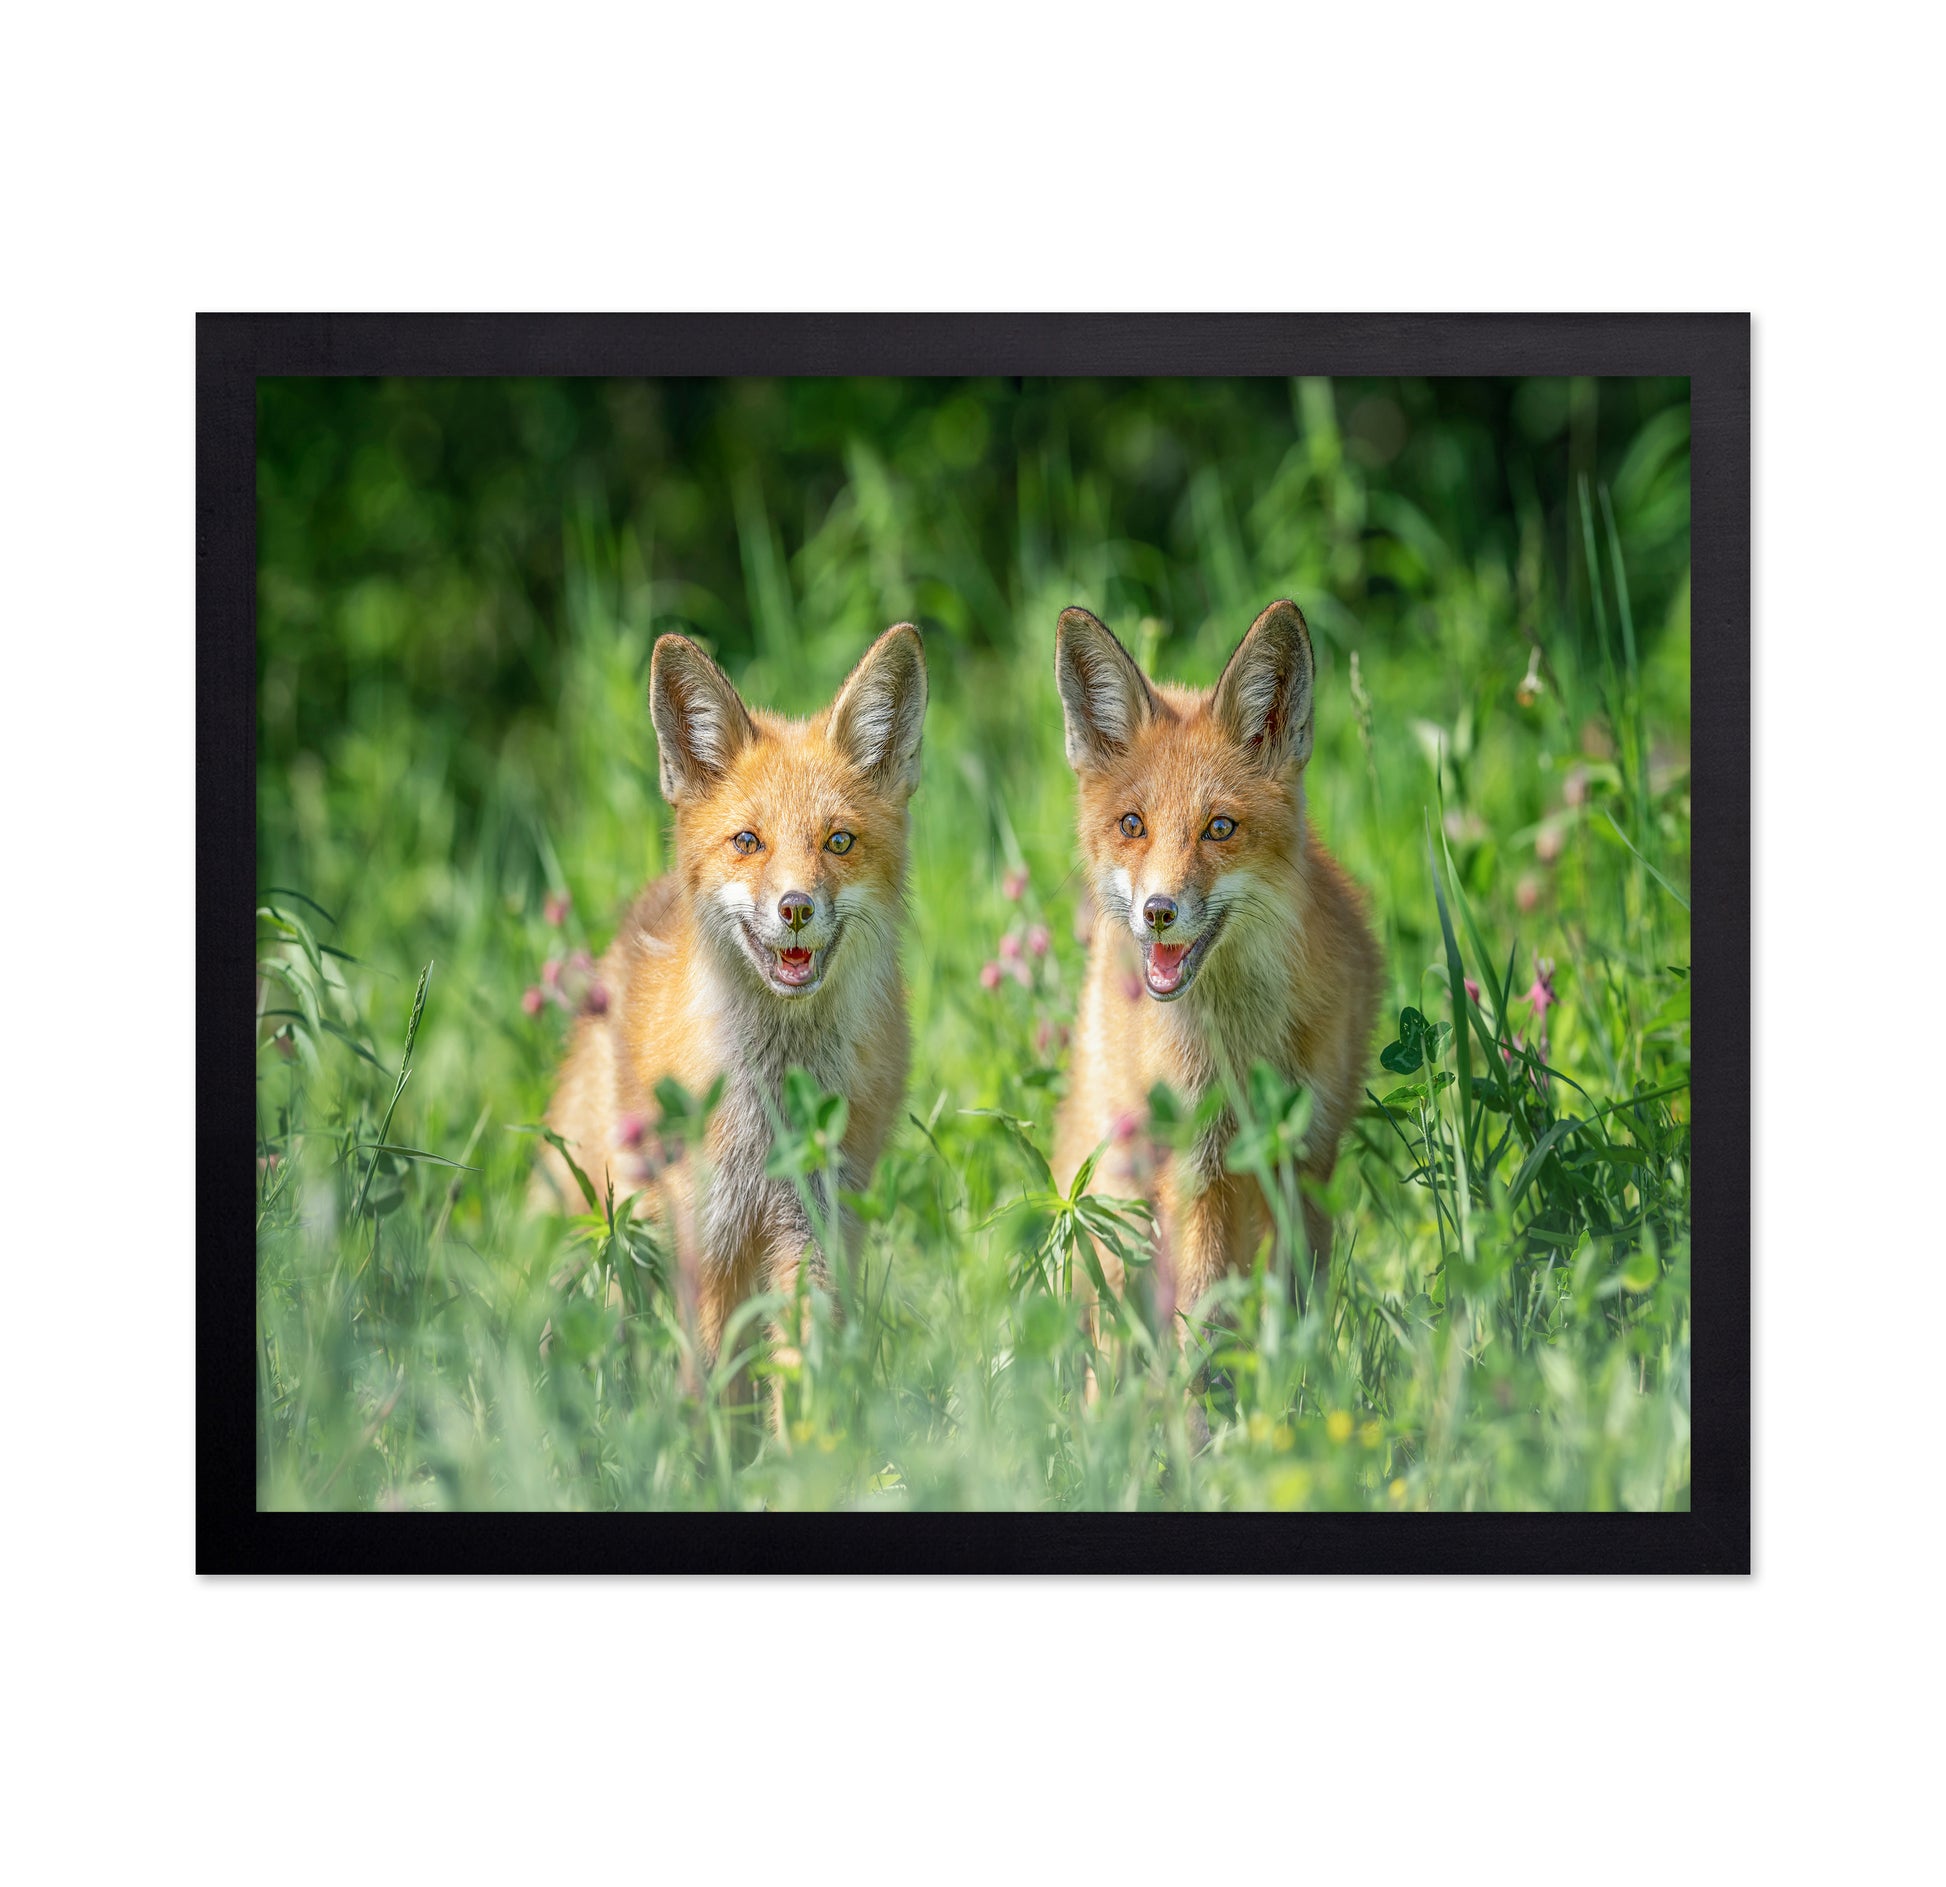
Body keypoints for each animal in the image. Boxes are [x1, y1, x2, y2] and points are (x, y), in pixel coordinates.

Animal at [537, 622, 928, 1370]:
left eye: (839, 841)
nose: (796, 907)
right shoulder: (710, 1244)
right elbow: (717, 1386)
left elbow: (805, 1372)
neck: (771, 1106)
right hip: (617, 1229)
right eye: (748, 841)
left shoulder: (813, 1228)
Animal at [1052, 599, 1382, 1340]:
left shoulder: (1304, 1156)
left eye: (1220, 828)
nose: (1158, 911)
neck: (1241, 1047)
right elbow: (1202, 1318)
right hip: (1121, 1203)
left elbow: (1295, 1306)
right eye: (1133, 825)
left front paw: (1300, 1372)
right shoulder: (1195, 1169)